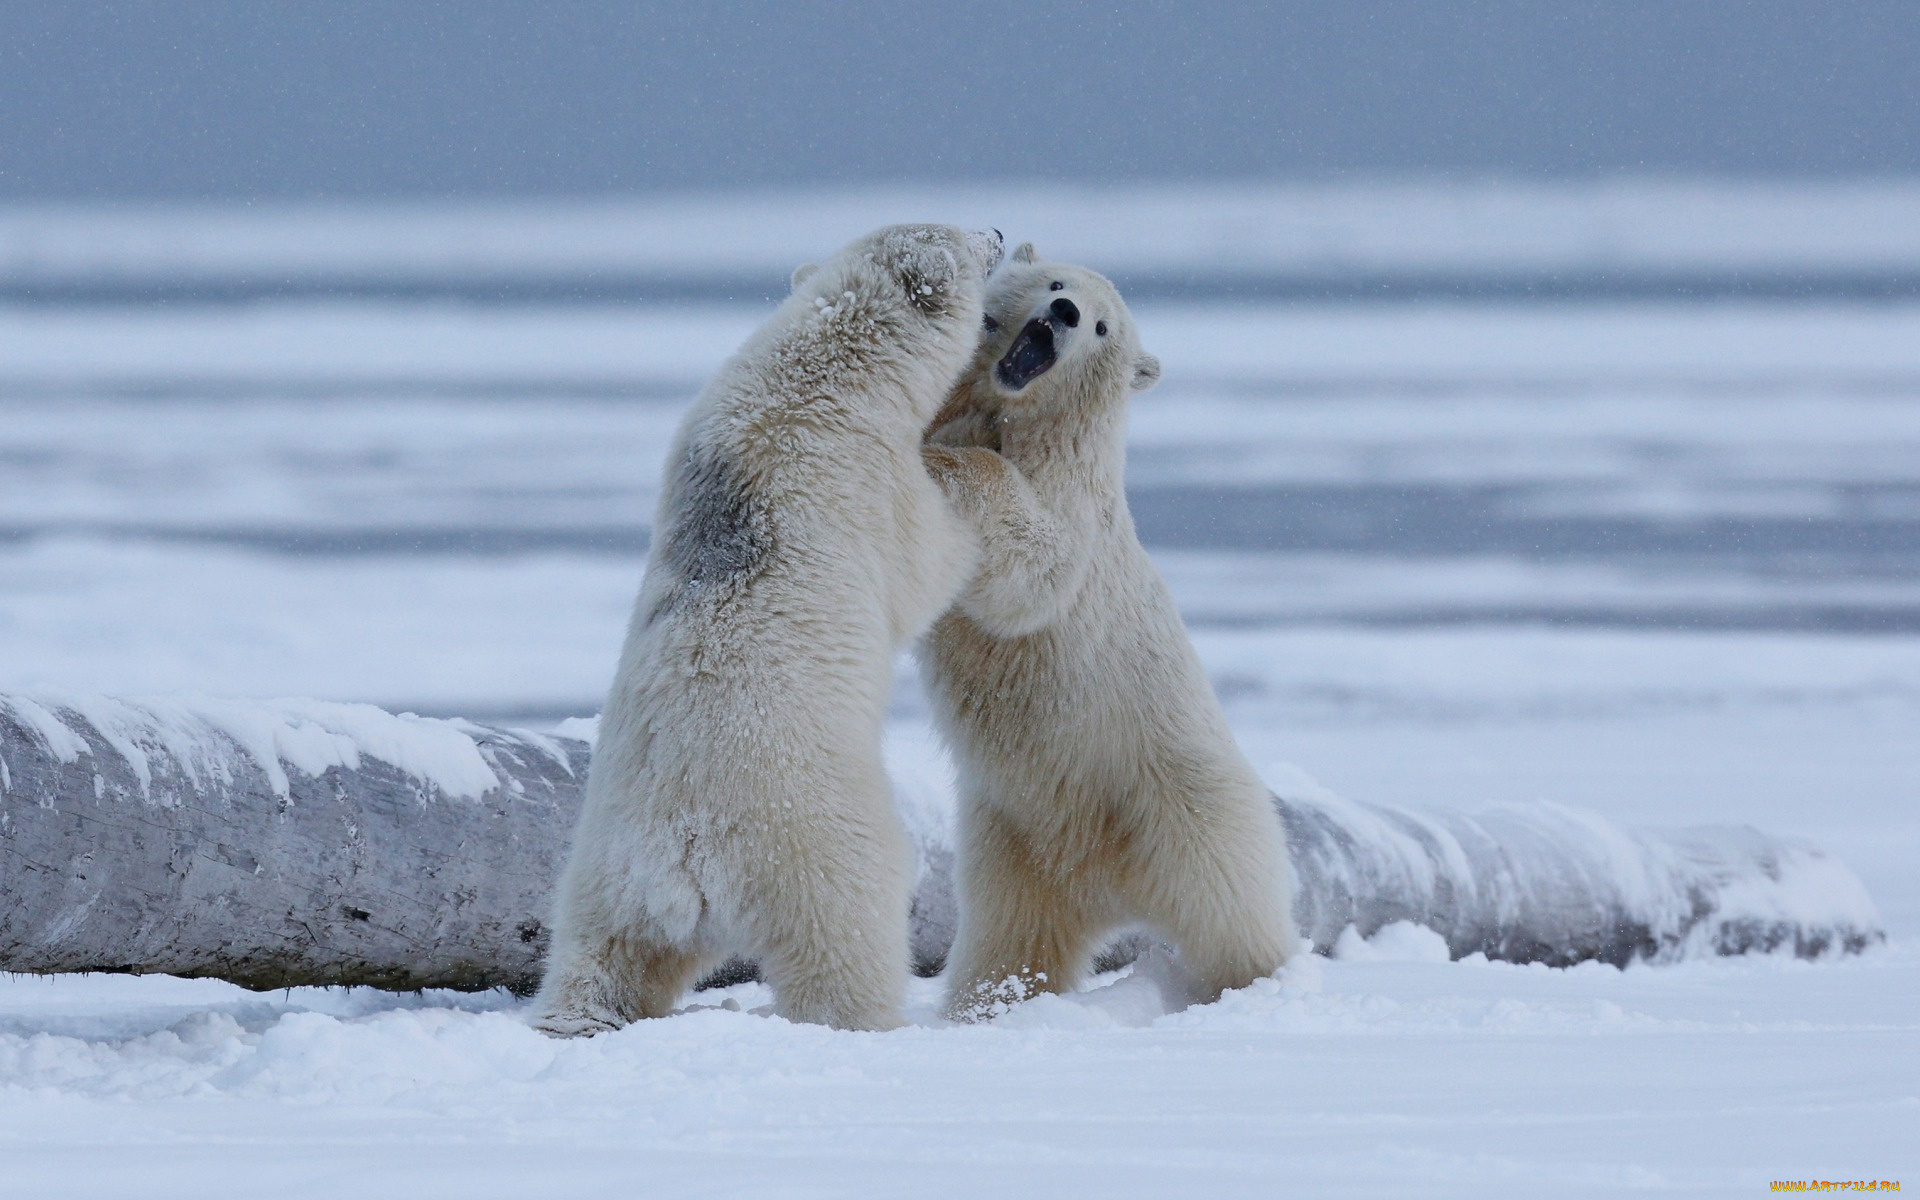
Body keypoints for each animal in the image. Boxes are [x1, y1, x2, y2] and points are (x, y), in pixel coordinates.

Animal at [529, 222, 1006, 1029]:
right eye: (958, 233)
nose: (999, 232)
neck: (820, 369)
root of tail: (684, 854)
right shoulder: (867, 476)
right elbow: (925, 562)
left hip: (603, 867)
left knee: (603, 958)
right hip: (814, 841)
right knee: (849, 939)